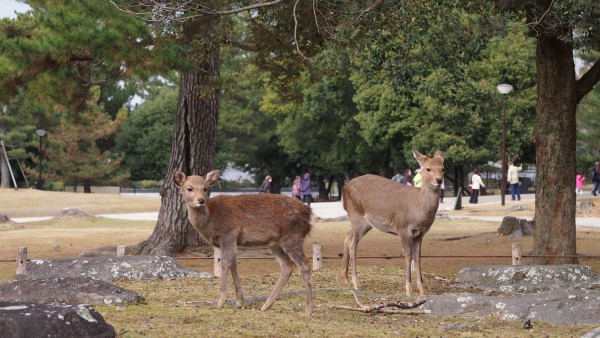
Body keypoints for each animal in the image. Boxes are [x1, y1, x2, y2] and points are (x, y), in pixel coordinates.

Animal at [173, 170, 314, 316]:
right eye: (189, 188)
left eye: (205, 188)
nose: (201, 200)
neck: (210, 221)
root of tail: (309, 214)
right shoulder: (233, 241)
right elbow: (234, 265)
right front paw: (239, 302)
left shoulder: (228, 234)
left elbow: (225, 263)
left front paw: (220, 302)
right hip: (275, 244)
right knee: (287, 265)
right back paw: (266, 305)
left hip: (292, 237)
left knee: (305, 265)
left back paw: (308, 310)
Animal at [340, 151, 442, 298]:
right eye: (428, 168)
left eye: (443, 168)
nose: (439, 180)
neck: (418, 210)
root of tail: (344, 188)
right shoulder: (403, 228)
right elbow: (408, 255)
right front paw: (408, 291)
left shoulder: (420, 234)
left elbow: (418, 257)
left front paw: (422, 291)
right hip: (356, 216)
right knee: (353, 244)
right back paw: (356, 284)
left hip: (365, 223)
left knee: (348, 237)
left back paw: (345, 278)